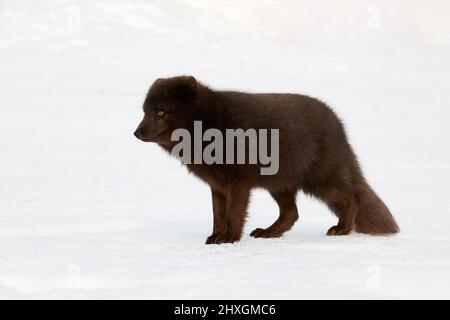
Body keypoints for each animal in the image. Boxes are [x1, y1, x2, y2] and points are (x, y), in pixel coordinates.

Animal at [134, 75, 400, 245]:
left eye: (161, 112)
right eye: (145, 111)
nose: (135, 133)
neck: (208, 124)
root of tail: (339, 125)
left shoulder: (237, 184)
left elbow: (233, 214)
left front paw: (229, 239)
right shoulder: (217, 186)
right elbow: (218, 215)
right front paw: (216, 237)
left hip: (320, 181)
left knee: (350, 199)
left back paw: (342, 229)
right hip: (279, 184)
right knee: (292, 214)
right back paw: (269, 233)